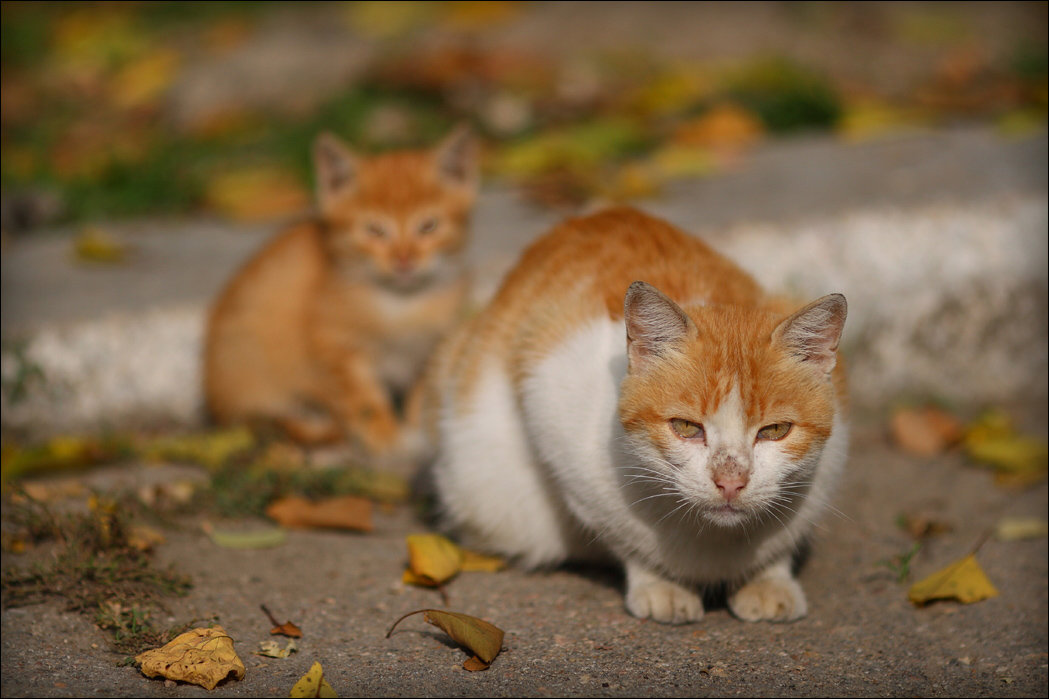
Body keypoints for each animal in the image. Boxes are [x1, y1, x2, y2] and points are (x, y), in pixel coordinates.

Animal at [203, 123, 480, 457]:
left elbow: (421, 392)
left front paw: (419, 429)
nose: (404, 259)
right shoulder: (334, 345)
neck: (401, 305)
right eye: (375, 230)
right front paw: (387, 440)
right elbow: (364, 401)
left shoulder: (429, 346)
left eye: (428, 226)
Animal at [413, 205, 847, 621]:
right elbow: (625, 539)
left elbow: (780, 546)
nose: (730, 481)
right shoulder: (552, 408)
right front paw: (661, 585)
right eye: (685, 426)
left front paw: (769, 580)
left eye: (774, 430)